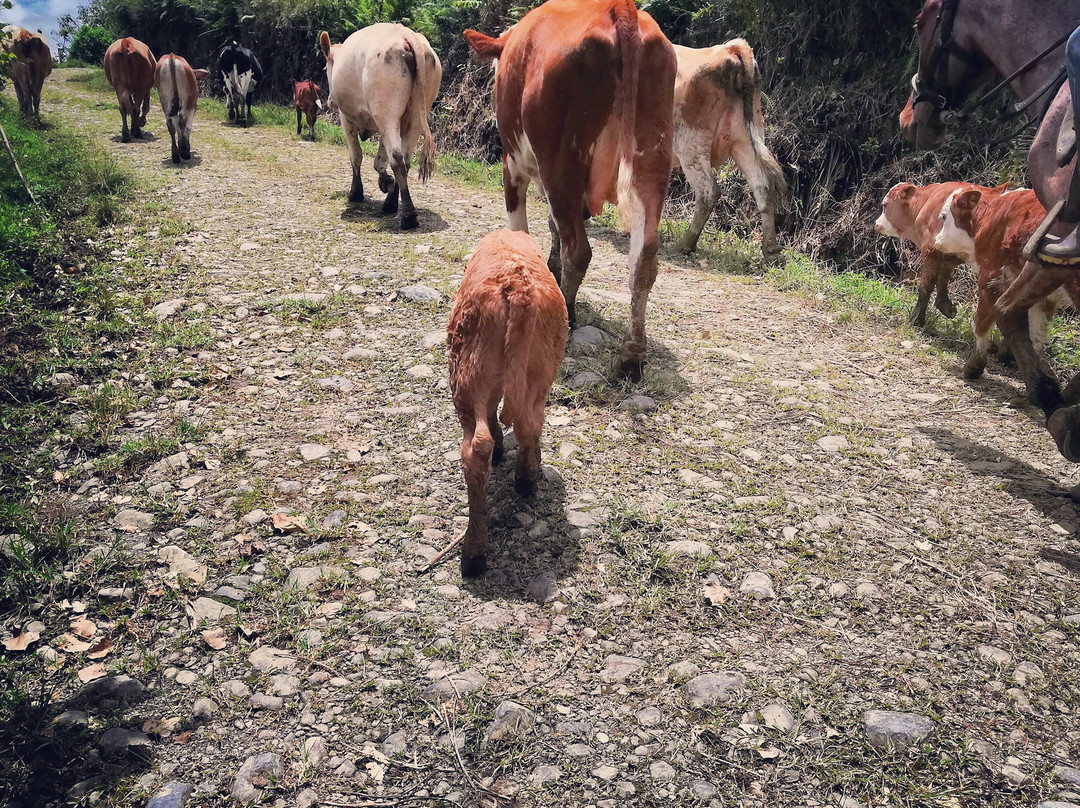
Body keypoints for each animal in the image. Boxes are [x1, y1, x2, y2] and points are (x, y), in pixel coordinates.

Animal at [317, 26, 440, 229]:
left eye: (326, 68)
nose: (330, 101)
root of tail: (407, 36)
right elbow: (380, 159)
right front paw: (385, 181)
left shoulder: (346, 118)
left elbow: (356, 156)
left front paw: (356, 193)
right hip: (413, 116)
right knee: (405, 159)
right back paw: (391, 203)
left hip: (386, 111)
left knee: (397, 158)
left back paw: (408, 216)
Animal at [447, 230, 570, 578]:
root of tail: (519, 287)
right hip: (542, 369)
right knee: (531, 423)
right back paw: (527, 479)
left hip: (467, 374)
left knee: (477, 446)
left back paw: (473, 554)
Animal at [464, 0, 673, 378]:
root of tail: (619, 9)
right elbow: (553, 230)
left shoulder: (512, 163)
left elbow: (523, 234)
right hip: (652, 158)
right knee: (644, 258)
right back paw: (632, 355)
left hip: (561, 162)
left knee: (579, 251)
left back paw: (569, 315)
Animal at [673, 40, 786, 259]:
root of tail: (730, 48)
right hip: (745, 139)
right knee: (763, 186)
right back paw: (771, 248)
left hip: (691, 144)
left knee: (708, 191)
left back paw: (685, 244)